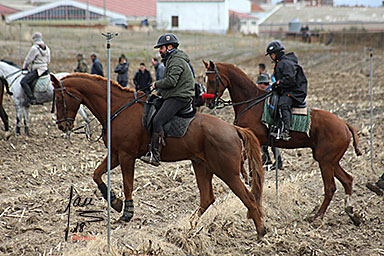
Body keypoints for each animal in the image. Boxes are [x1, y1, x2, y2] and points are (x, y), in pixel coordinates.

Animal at [50, 73, 268, 239]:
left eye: (59, 99)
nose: (61, 126)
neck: (118, 108)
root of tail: (233, 129)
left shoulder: (126, 156)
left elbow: (128, 184)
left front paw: (126, 213)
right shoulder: (115, 155)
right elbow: (96, 174)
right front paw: (114, 201)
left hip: (228, 173)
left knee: (248, 197)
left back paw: (260, 231)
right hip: (202, 166)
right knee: (207, 199)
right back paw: (187, 227)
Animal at [204, 60, 364, 224]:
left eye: (212, 80)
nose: (208, 102)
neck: (251, 103)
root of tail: (344, 124)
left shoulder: (254, 140)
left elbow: (246, 161)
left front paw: (248, 178)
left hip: (326, 161)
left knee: (330, 188)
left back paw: (317, 216)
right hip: (330, 161)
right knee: (347, 180)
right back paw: (350, 212)